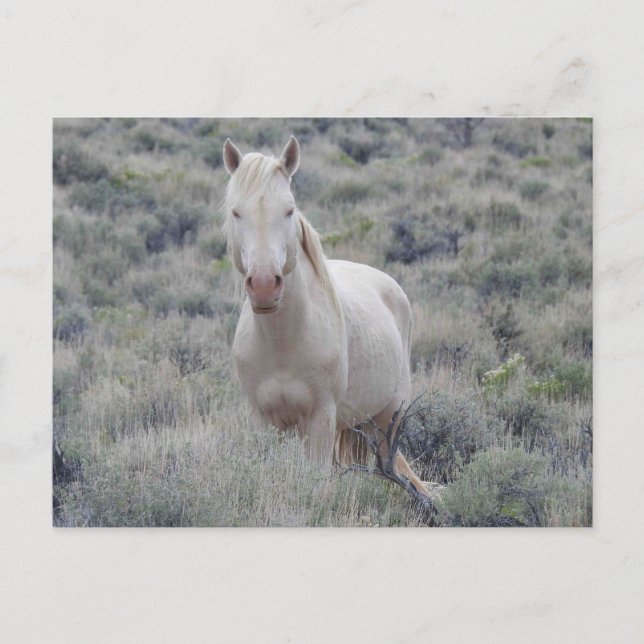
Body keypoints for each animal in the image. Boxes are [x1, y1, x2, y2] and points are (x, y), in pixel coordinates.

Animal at [222, 135, 431, 498]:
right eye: (236, 212)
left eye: (289, 210)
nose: (264, 285)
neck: (282, 345)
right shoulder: (261, 419)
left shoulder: (320, 420)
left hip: (388, 419)